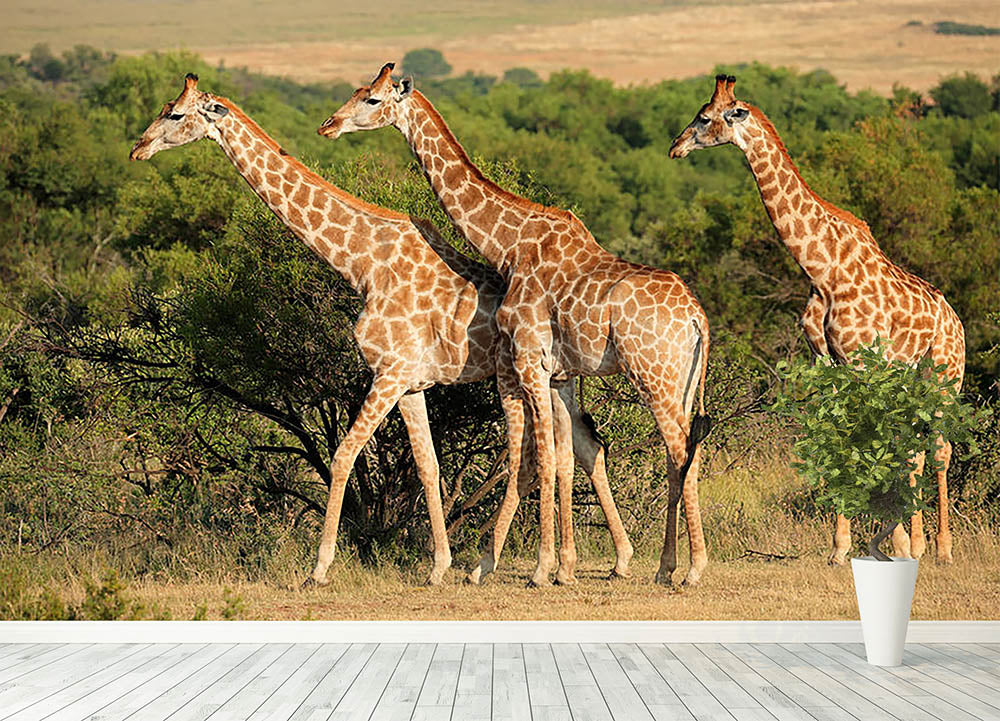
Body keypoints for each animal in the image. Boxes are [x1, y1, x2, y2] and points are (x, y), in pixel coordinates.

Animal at [129, 73, 635, 586]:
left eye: (175, 113)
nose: (138, 148)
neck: (363, 263)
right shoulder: (410, 384)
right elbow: (428, 466)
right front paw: (438, 565)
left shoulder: (388, 372)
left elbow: (343, 455)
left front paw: (320, 567)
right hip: (554, 377)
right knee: (580, 447)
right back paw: (594, 561)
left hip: (516, 376)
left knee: (533, 457)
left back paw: (506, 564)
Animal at [319, 64, 711, 587]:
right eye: (358, 92)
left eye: (373, 99)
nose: (329, 125)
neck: (509, 242)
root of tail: (697, 317)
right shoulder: (557, 372)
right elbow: (562, 455)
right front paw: (562, 567)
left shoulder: (529, 360)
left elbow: (541, 457)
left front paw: (543, 569)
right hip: (682, 379)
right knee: (684, 450)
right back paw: (668, 565)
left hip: (654, 374)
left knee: (680, 449)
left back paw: (688, 568)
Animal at [669, 74, 965, 564]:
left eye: (705, 117)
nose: (675, 147)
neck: (821, 267)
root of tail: (957, 322)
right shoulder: (828, 363)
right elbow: (841, 436)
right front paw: (845, 545)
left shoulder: (862, 361)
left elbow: (864, 441)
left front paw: (870, 543)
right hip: (912, 377)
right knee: (915, 449)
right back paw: (916, 543)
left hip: (944, 374)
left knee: (939, 447)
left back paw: (940, 548)